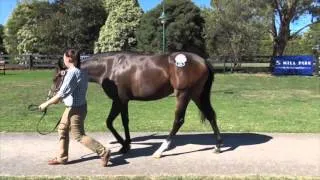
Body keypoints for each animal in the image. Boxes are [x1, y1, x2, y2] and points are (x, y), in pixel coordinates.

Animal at [52, 51, 222, 158]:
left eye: (57, 77)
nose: (54, 95)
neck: (109, 66)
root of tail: (203, 61)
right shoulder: (120, 101)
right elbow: (117, 122)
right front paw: (125, 144)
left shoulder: (120, 100)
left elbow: (117, 122)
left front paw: (125, 145)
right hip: (197, 95)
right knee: (210, 115)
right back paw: (218, 146)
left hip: (184, 94)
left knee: (178, 120)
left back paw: (160, 150)